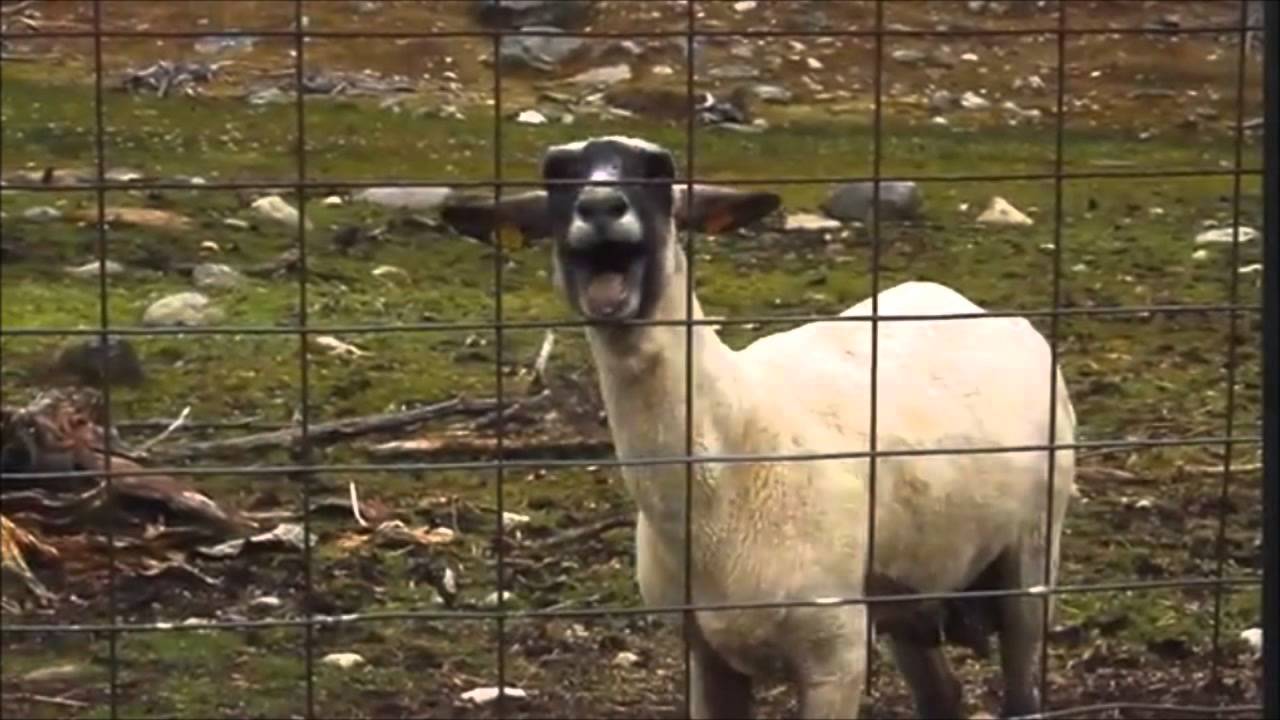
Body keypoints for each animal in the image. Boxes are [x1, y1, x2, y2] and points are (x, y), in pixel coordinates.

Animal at [452, 136, 1077, 719]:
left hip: (1031, 553)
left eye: (659, 171)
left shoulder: (835, 654)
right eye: (557, 175)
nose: (601, 206)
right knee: (941, 695)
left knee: (1022, 686)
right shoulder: (706, 654)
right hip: (910, 586)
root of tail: (967, 302)